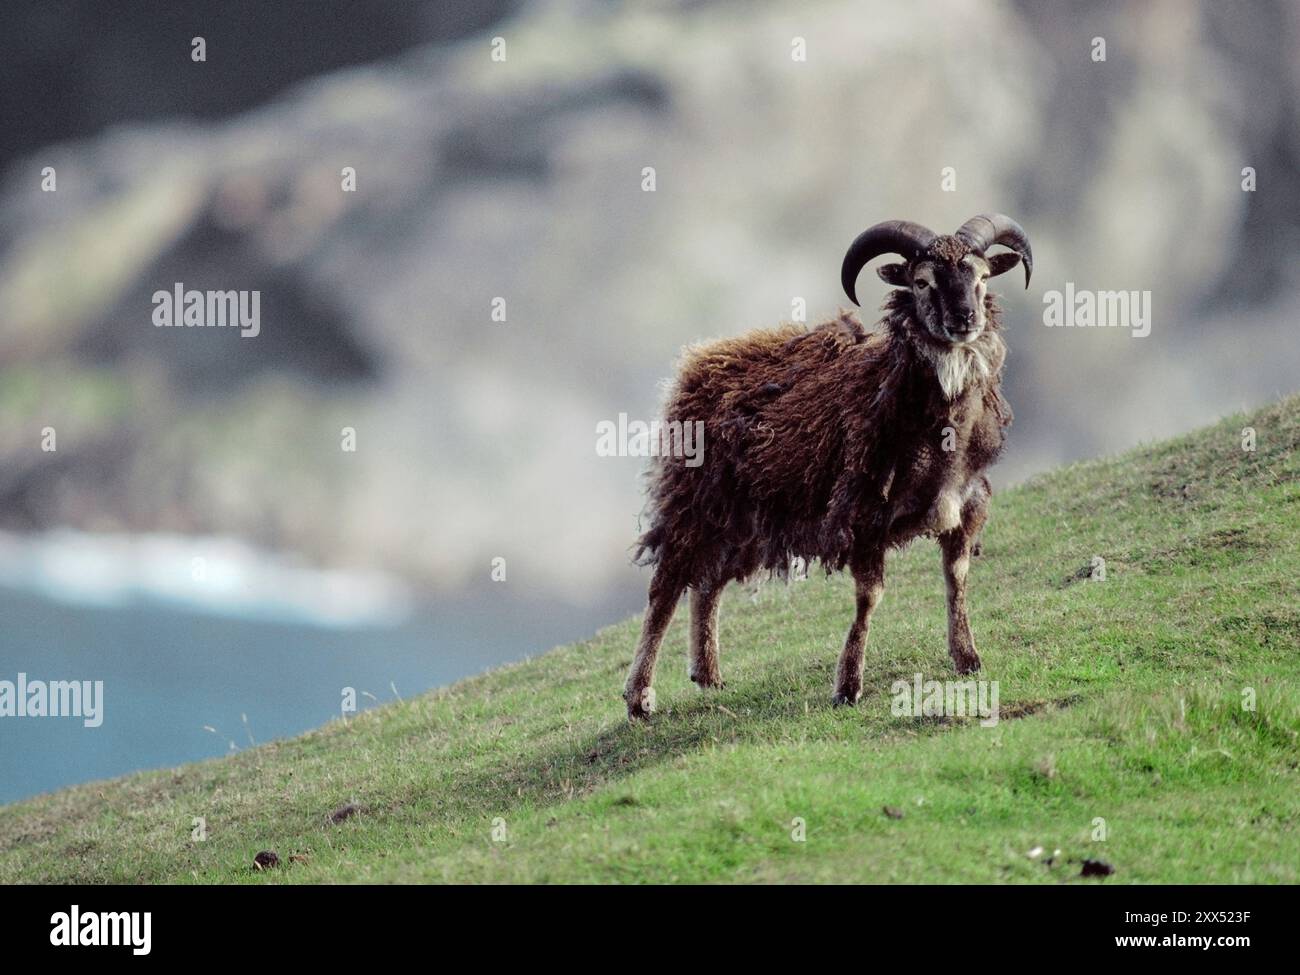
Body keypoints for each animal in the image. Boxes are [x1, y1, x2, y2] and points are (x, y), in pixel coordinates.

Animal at [624, 213, 1033, 720]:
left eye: (982, 277)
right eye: (921, 281)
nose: (965, 320)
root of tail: (700, 360)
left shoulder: (967, 502)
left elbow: (956, 578)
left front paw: (967, 658)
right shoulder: (865, 513)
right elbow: (869, 597)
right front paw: (848, 686)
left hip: (742, 518)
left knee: (708, 584)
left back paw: (709, 676)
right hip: (693, 499)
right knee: (665, 589)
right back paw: (639, 698)